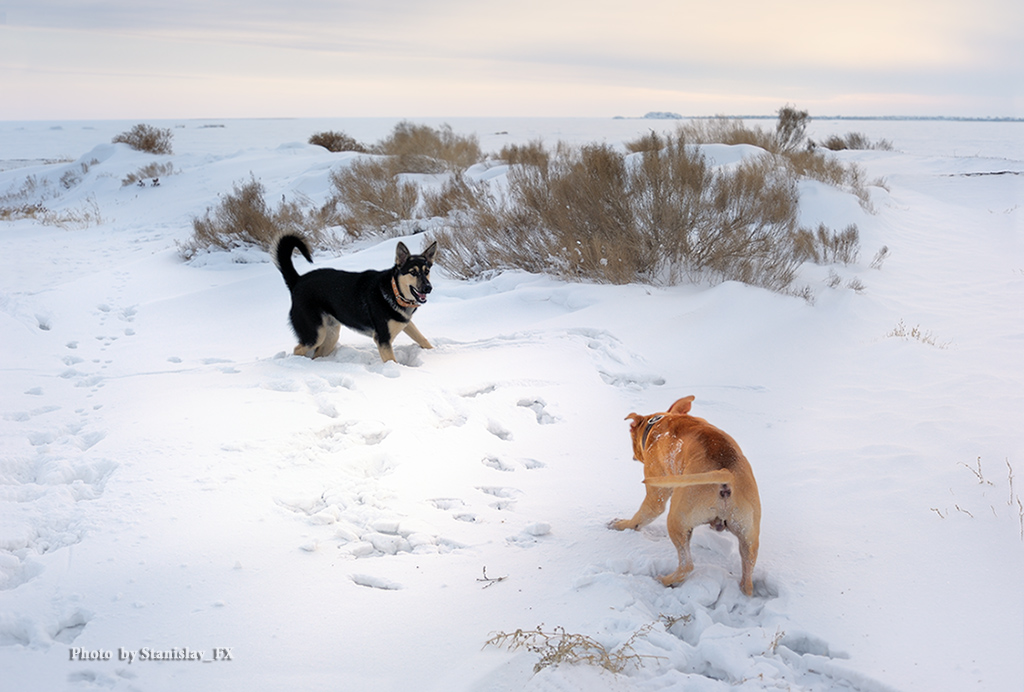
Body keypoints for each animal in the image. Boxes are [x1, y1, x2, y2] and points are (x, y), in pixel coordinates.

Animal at [272, 233, 436, 362]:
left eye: (427, 271)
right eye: (413, 272)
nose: (428, 288)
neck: (394, 291)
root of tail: (297, 280)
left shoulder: (405, 322)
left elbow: (422, 338)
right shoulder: (383, 339)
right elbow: (391, 361)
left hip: (330, 335)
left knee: (317, 354)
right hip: (316, 334)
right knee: (298, 349)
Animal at [606, 397, 761, 597]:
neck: (660, 421)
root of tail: (726, 473)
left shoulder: (656, 490)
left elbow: (642, 515)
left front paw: (621, 525)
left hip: (677, 520)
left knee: (686, 565)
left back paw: (664, 580)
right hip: (749, 535)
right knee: (748, 575)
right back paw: (744, 588)